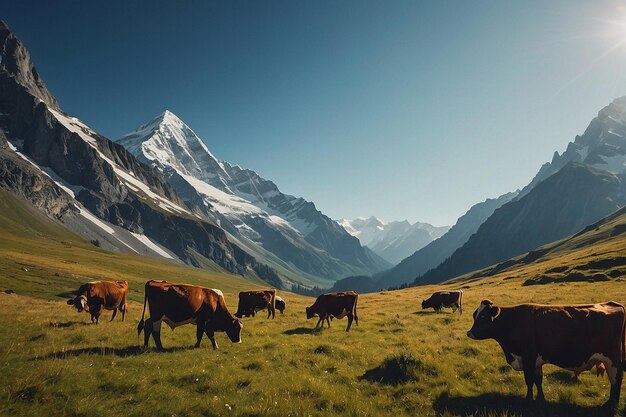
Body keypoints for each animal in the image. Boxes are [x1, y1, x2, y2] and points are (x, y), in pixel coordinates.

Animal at [466, 300, 620, 406]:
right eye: (475, 315)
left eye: (483, 316)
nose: (469, 333)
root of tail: (611, 304)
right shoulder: (536, 361)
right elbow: (538, 380)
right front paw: (541, 398)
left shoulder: (528, 357)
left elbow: (529, 380)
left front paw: (528, 400)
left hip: (613, 360)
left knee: (616, 380)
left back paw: (611, 404)